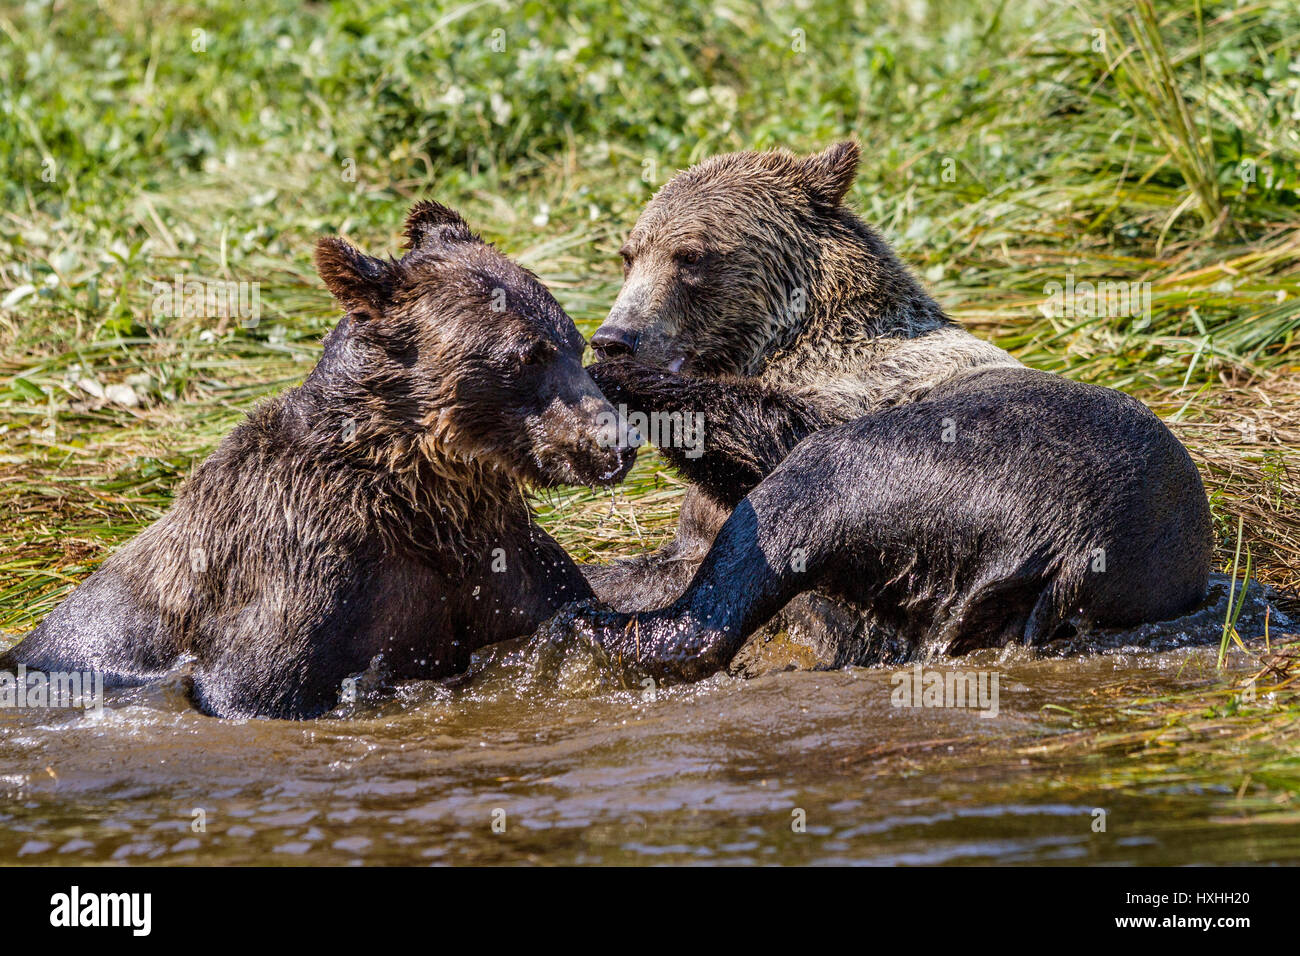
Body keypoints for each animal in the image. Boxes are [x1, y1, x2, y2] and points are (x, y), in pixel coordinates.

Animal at [1, 204, 634, 723]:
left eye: (575, 342)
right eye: (525, 356)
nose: (617, 444)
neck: (421, 493)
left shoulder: (500, 561)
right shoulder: (308, 575)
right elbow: (255, 686)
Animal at [574, 141, 1211, 681]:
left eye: (690, 256)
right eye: (630, 255)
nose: (613, 338)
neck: (784, 338)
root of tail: (1076, 551)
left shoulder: (868, 387)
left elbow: (770, 434)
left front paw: (613, 382)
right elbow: (671, 557)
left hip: (984, 470)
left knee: (805, 501)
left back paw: (601, 633)